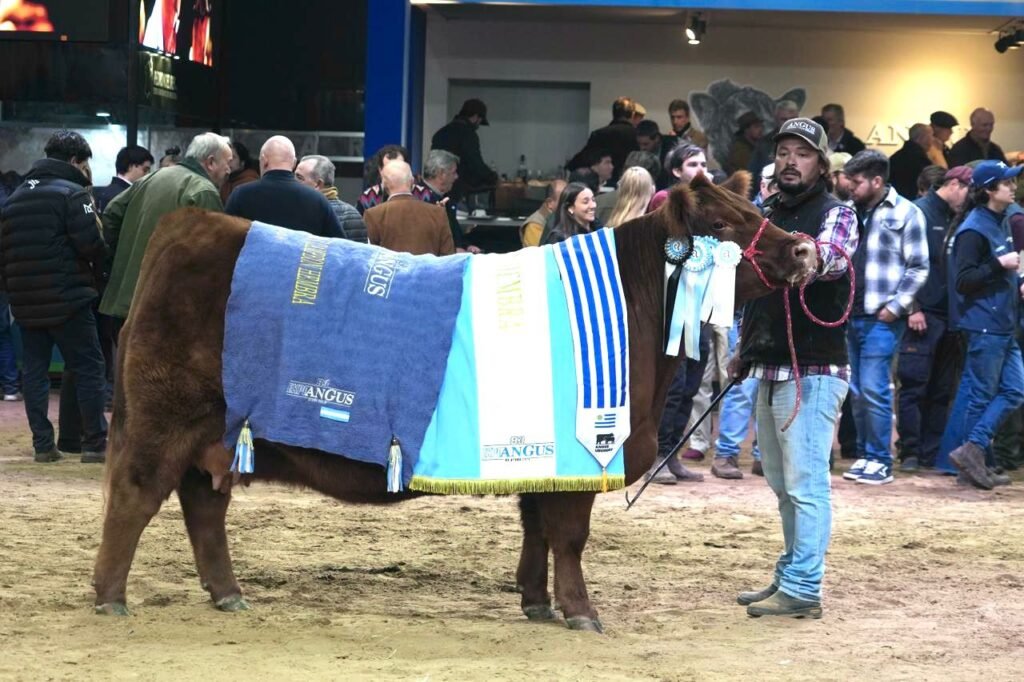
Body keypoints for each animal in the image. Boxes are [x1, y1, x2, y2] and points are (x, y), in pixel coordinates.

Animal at [92, 171, 817, 632]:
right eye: (726, 222)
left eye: (758, 212)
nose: (805, 249)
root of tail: (192, 223)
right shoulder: (586, 449)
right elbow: (570, 537)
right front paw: (582, 612)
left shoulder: (543, 458)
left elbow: (537, 528)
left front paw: (535, 603)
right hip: (164, 420)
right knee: (135, 495)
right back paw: (110, 597)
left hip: (215, 434)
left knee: (202, 507)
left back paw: (228, 595)